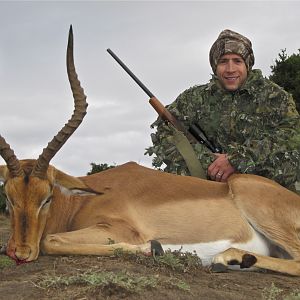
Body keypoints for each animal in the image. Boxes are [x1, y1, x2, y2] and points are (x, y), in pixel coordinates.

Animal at [0, 27, 300, 276]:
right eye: (9, 197)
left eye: (47, 197)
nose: (20, 252)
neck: (81, 201)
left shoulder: (119, 229)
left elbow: (49, 241)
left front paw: (153, 248)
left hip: (247, 191)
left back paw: (227, 258)